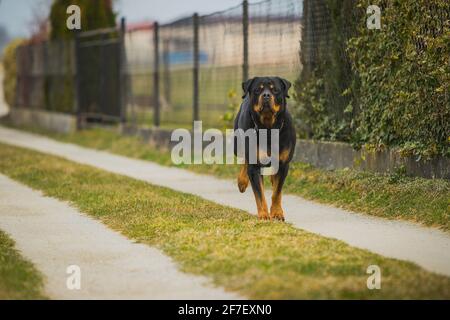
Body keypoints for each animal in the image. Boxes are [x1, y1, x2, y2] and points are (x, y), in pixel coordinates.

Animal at [236, 77, 296, 221]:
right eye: (258, 89)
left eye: (275, 90)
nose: (266, 95)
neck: (268, 129)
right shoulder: (254, 166)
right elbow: (259, 193)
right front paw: (263, 214)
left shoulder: (283, 164)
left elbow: (277, 192)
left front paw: (277, 213)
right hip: (237, 145)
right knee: (243, 160)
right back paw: (242, 182)